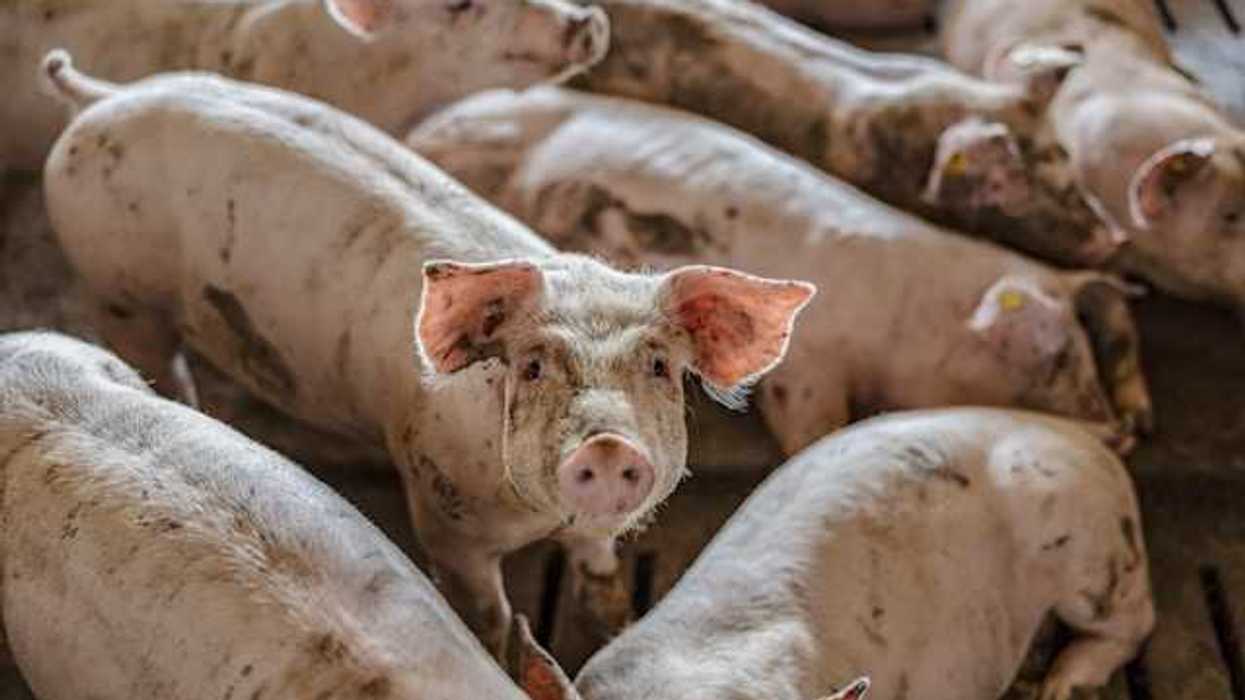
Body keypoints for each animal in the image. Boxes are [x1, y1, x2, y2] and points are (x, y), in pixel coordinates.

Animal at [40, 54, 815, 658]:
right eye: (532, 365)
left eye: (658, 366)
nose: (606, 445)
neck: (537, 520)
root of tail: (102, 97)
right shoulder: (443, 515)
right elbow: (489, 616)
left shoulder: (592, 529)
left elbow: (599, 570)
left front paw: (612, 622)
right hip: (118, 295)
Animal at [407, 86, 1153, 457]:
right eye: (1049, 354)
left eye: (1079, 347)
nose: (1118, 433)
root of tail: (426, 128)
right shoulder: (808, 373)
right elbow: (812, 427)